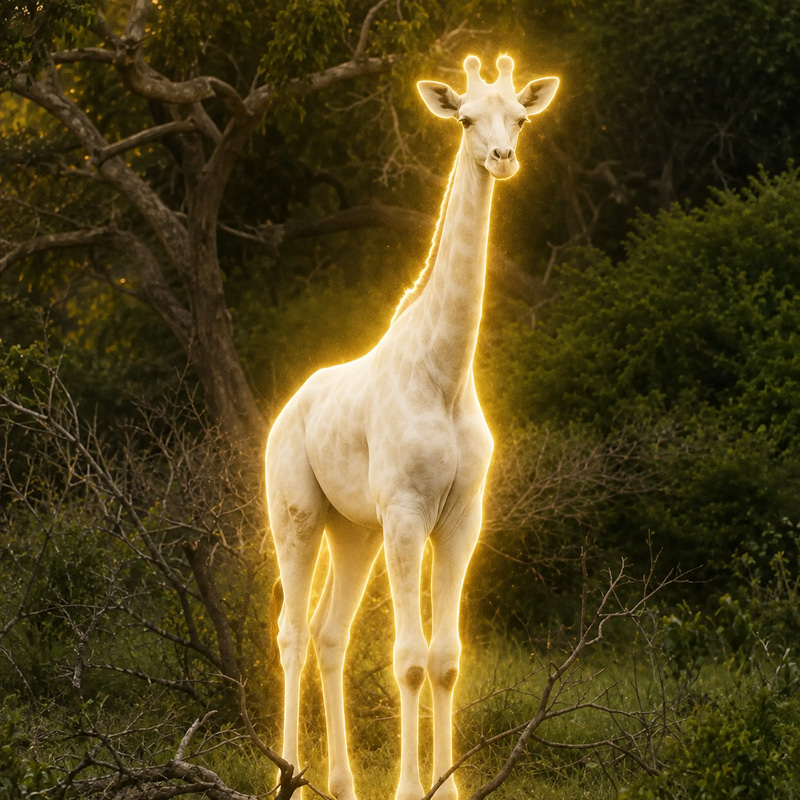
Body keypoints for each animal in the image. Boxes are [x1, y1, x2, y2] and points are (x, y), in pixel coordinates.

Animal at [265, 54, 559, 800]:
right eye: (465, 118)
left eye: (520, 117)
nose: (502, 158)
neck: (446, 374)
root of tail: (286, 409)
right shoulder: (406, 513)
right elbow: (408, 657)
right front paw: (407, 787)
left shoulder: (460, 517)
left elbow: (448, 657)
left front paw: (446, 786)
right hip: (298, 514)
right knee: (290, 631)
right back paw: (287, 777)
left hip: (354, 531)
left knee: (329, 632)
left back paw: (341, 785)